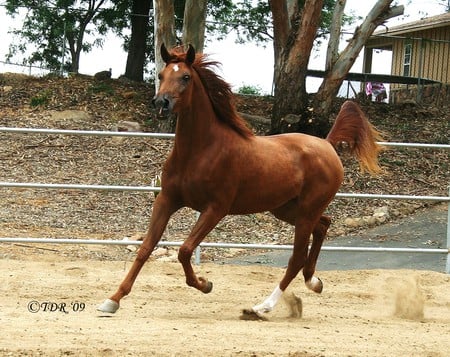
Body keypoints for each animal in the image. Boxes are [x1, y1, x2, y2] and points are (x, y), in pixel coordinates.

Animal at [98, 44, 384, 318]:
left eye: (186, 77)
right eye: (161, 75)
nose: (161, 103)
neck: (199, 150)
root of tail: (326, 144)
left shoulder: (215, 209)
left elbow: (185, 250)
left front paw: (205, 284)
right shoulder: (167, 200)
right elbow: (145, 248)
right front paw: (112, 300)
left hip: (305, 212)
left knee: (296, 258)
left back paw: (261, 307)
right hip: (287, 209)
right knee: (323, 226)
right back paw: (314, 282)